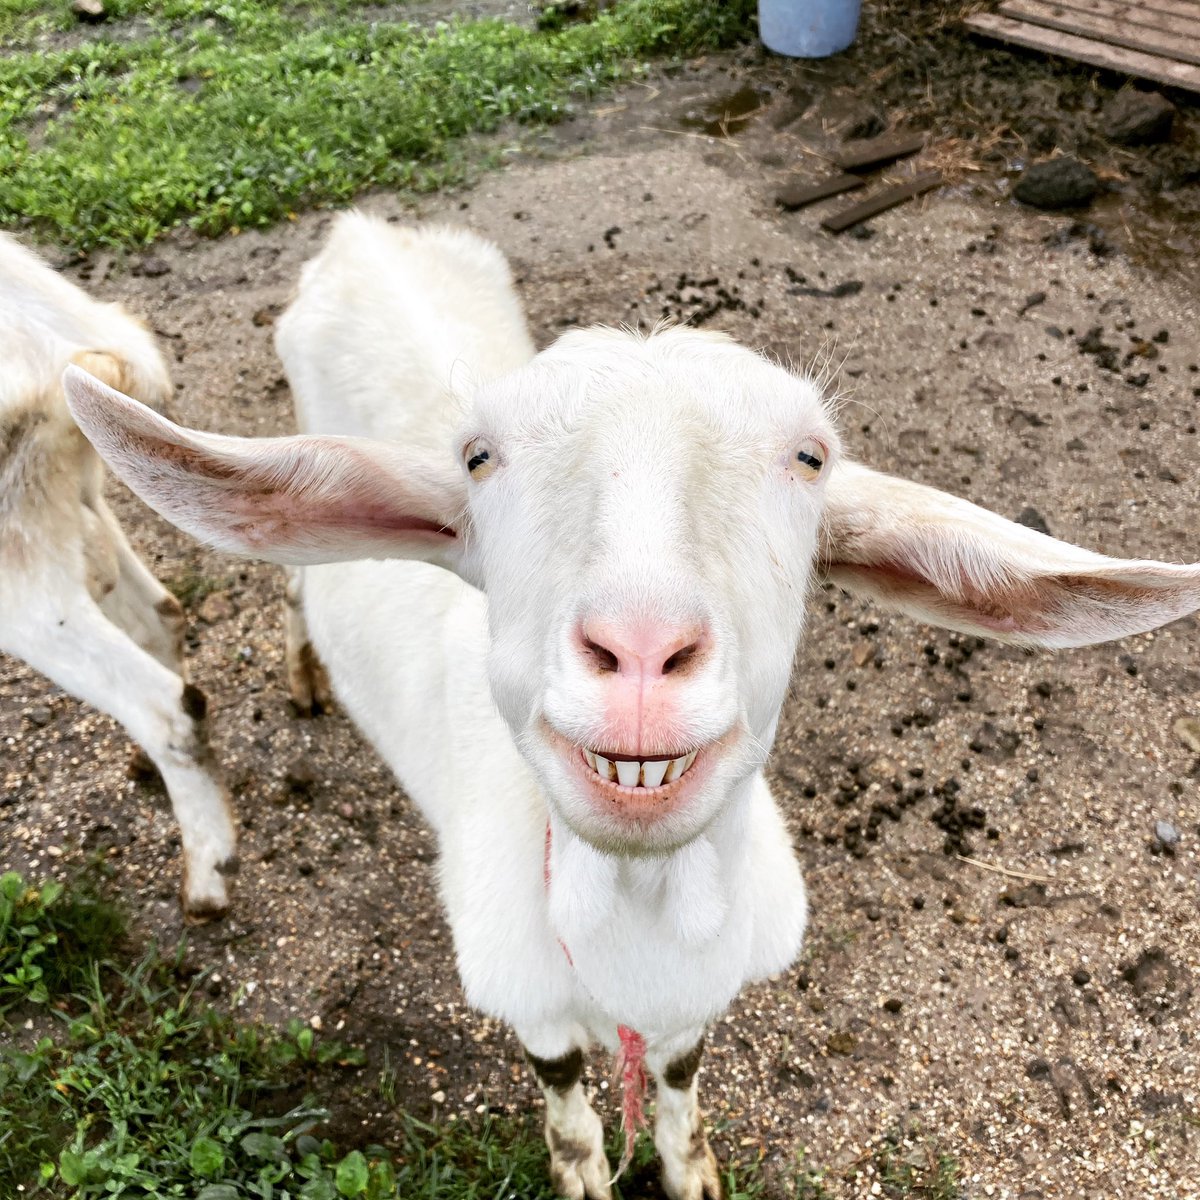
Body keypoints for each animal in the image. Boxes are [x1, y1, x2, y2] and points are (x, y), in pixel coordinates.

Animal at [62, 213, 1200, 1200]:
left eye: (811, 456)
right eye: (478, 458)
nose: (644, 652)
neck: (639, 914)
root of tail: (360, 231)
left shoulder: (700, 993)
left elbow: (682, 1077)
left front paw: (690, 1170)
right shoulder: (524, 985)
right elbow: (566, 1096)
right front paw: (585, 1173)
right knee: (295, 583)